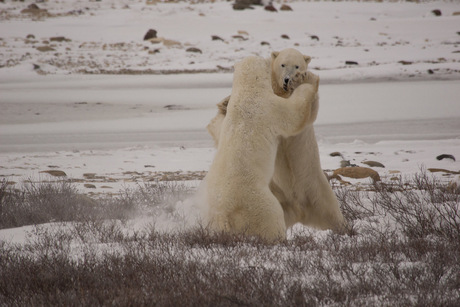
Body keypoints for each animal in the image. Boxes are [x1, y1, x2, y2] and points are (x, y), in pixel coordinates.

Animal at [207, 49, 346, 235]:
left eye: (297, 65)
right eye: (282, 64)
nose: (288, 79)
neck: (248, 91)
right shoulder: (270, 108)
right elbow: (295, 116)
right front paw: (308, 79)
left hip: (314, 189)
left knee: (331, 214)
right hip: (265, 202)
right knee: (273, 220)